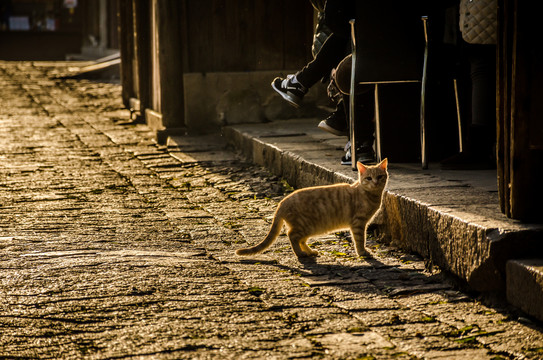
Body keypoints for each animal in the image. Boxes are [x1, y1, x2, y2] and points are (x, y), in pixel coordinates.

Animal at [236, 159, 388, 258]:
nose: (375, 182)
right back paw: (300, 254)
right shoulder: (358, 223)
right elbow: (359, 240)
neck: (370, 195)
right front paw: (362, 252)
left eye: (380, 176)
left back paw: (309, 252)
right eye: (369, 178)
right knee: (292, 236)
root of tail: (282, 202)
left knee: (301, 240)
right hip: (304, 226)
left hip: (309, 228)